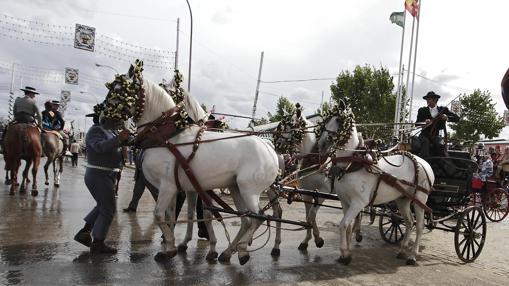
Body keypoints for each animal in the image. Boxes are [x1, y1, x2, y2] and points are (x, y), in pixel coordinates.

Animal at [103, 63, 278, 264]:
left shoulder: (168, 186)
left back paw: (242, 250)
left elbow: (159, 215)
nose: (101, 119)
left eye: (119, 90)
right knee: (246, 219)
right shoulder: (178, 188)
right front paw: (169, 248)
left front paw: (172, 248)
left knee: (259, 217)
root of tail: (268, 146)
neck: (167, 138)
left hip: (250, 189)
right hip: (236, 188)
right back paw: (228, 252)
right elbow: (170, 216)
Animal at [318, 103, 432, 266]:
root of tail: (425, 164)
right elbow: (348, 226)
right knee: (410, 222)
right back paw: (402, 250)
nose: (321, 143)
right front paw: (346, 252)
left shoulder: (359, 202)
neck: (353, 163)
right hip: (402, 199)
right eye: (326, 120)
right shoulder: (345, 202)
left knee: (420, 226)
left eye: (339, 120)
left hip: (420, 199)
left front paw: (345, 254)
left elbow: (343, 224)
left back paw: (412, 256)